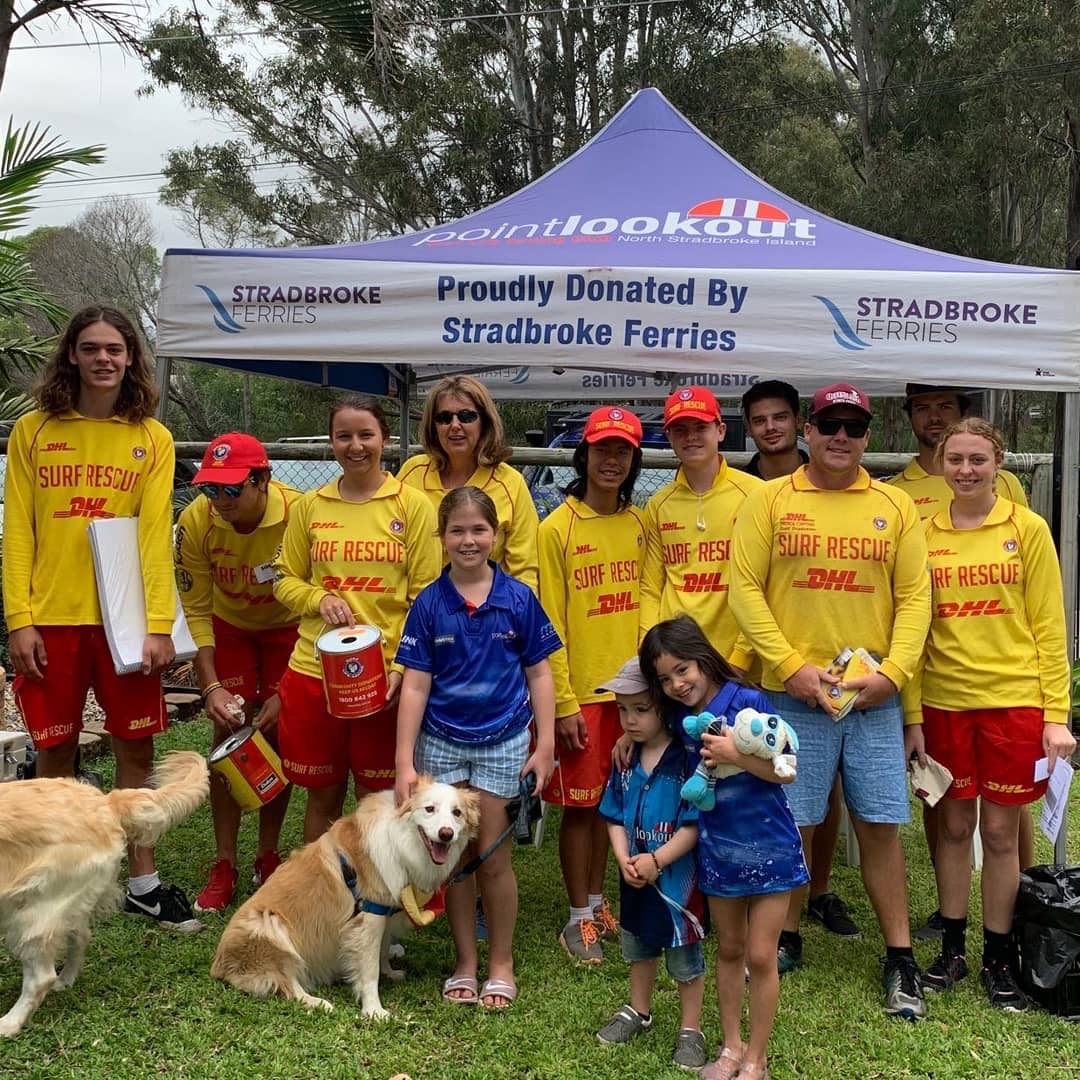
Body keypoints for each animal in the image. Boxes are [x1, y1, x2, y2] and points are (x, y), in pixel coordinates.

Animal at [0, 751, 208, 1036]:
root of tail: (107, 801)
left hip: (32, 911)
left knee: (40, 977)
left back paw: (9, 1023)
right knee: (80, 936)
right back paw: (66, 980)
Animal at [209, 773, 477, 1015]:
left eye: (457, 813)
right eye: (429, 809)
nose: (446, 834)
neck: (402, 839)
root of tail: (217, 966)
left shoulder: (383, 914)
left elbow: (381, 951)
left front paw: (389, 972)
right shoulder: (369, 917)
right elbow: (369, 968)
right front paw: (374, 1010)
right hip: (269, 924)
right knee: (287, 983)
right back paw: (317, 1002)